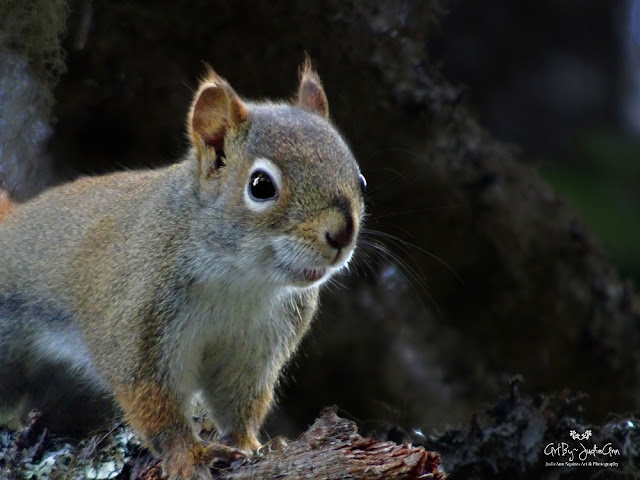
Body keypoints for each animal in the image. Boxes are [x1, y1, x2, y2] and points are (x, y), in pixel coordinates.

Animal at [0, 61, 364, 480]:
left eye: (359, 178)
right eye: (260, 185)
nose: (342, 233)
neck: (240, 280)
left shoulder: (256, 348)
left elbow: (238, 403)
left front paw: (252, 445)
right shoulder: (137, 325)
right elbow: (154, 404)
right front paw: (191, 456)